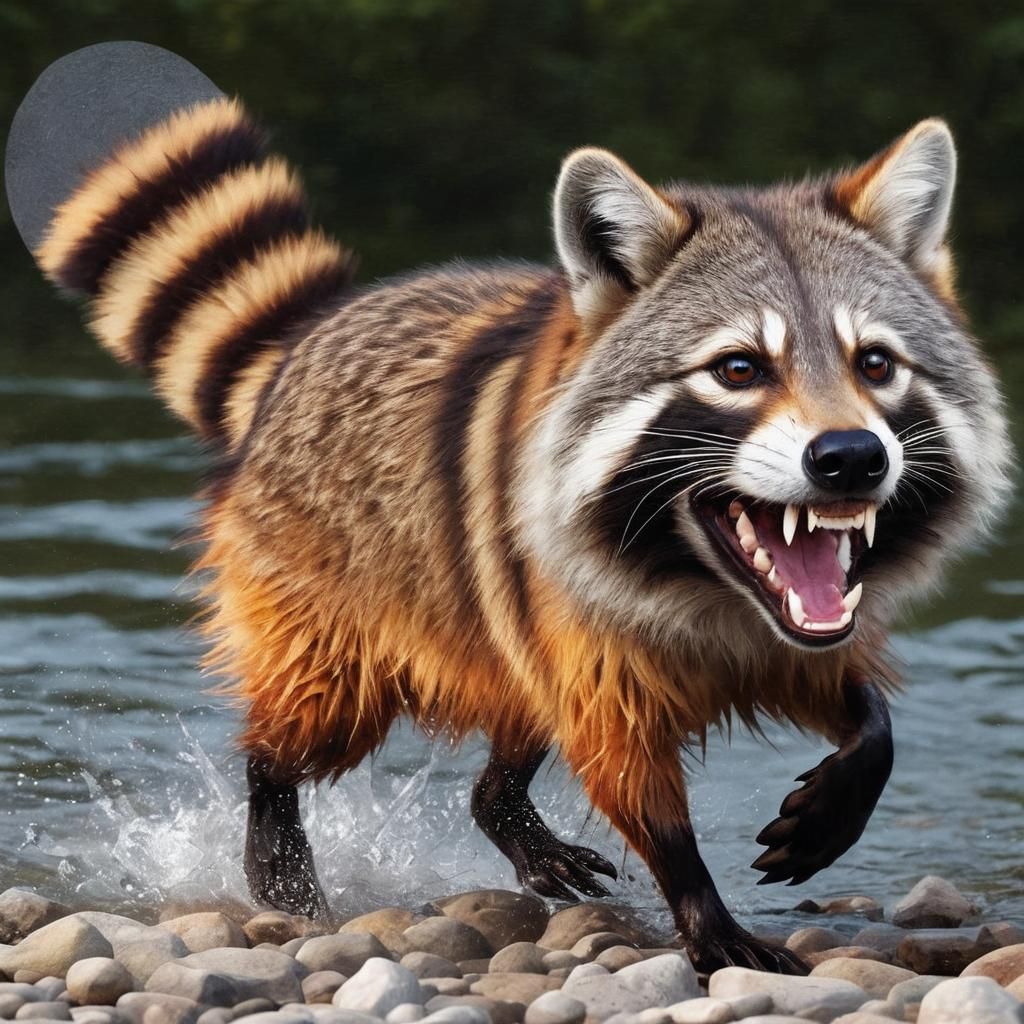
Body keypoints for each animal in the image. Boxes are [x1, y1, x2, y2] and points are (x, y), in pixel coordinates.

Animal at [6, 43, 1012, 974]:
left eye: (875, 363)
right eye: (738, 369)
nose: (851, 459)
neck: (708, 583)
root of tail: (308, 337)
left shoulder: (792, 628)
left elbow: (849, 692)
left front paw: (859, 758)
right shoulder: (585, 624)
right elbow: (628, 773)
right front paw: (699, 903)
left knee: (517, 713)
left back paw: (500, 800)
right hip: (326, 595)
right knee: (309, 715)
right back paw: (274, 813)